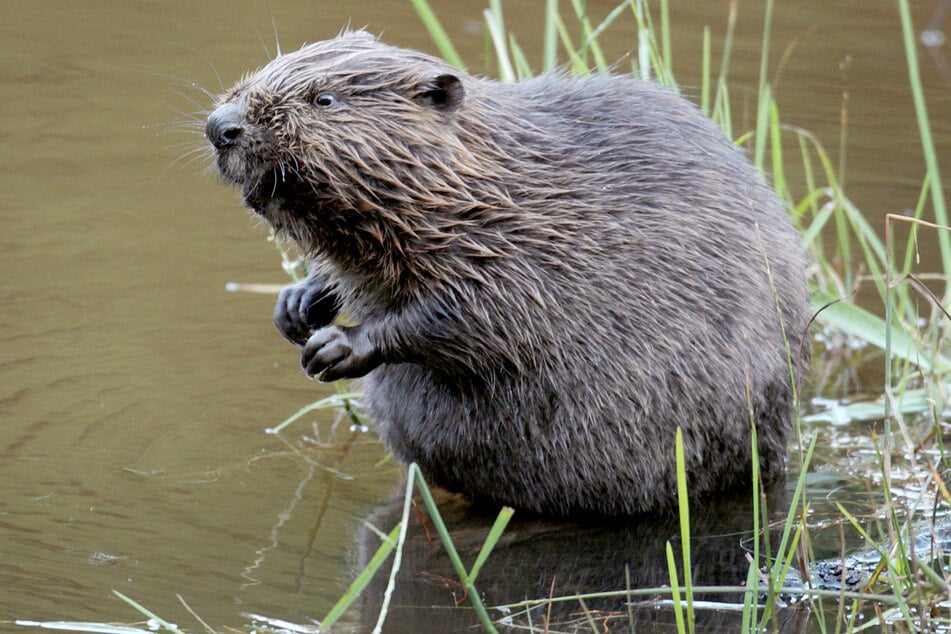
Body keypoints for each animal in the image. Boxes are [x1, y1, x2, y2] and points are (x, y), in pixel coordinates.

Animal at [205, 30, 808, 512]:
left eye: (324, 98)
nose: (220, 126)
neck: (482, 183)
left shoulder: (524, 251)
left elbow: (476, 317)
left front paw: (335, 347)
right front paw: (296, 305)